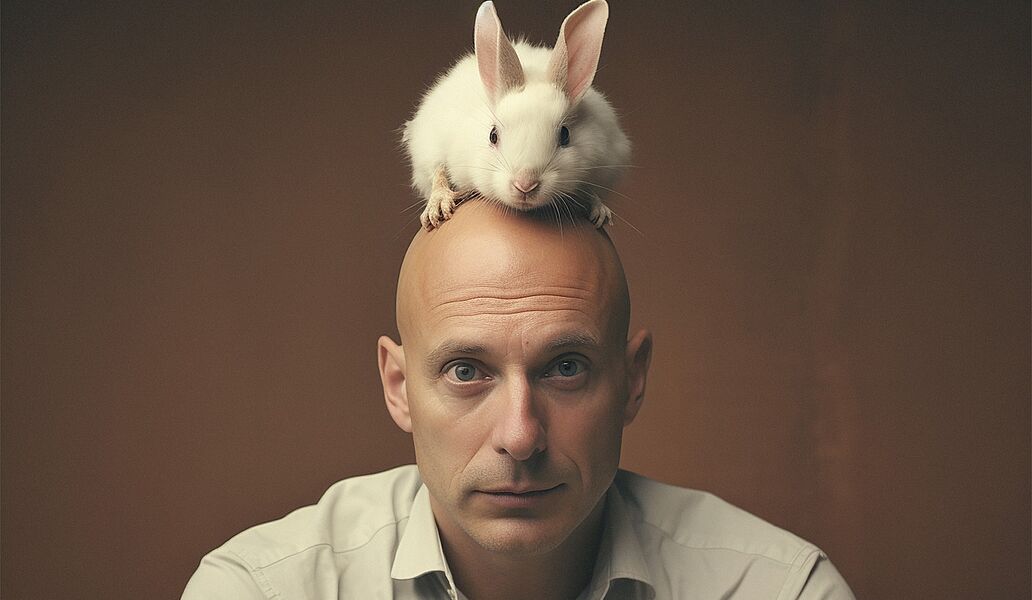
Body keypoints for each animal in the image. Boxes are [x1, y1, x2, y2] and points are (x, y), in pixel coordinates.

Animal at [402, 0, 630, 230]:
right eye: (493, 135)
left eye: (565, 135)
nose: (525, 185)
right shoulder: (431, 144)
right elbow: (438, 173)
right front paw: (438, 206)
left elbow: (592, 190)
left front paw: (600, 212)